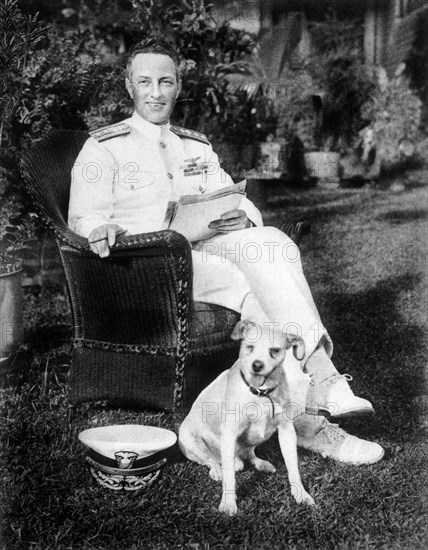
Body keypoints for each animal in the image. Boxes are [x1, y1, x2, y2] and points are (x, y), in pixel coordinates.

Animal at [179, 322, 316, 516]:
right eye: (249, 347)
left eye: (275, 350)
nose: (257, 365)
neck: (261, 394)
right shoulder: (229, 433)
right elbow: (230, 476)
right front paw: (228, 503)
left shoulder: (286, 431)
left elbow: (293, 467)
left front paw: (301, 494)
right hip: (188, 440)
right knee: (210, 460)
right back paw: (217, 470)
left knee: (248, 454)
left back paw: (261, 463)